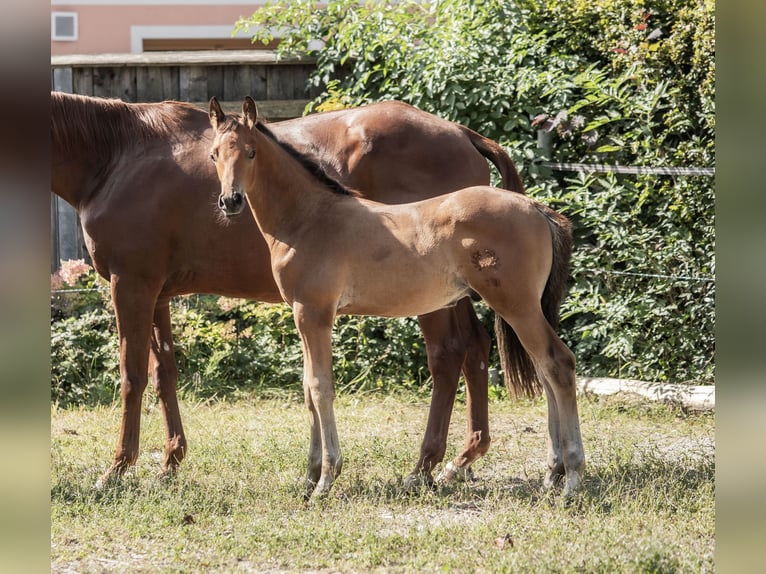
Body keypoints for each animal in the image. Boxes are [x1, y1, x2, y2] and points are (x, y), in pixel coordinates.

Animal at [49, 92, 528, 488]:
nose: (230, 201)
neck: (117, 156)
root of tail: (464, 134)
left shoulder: (131, 284)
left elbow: (131, 376)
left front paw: (117, 468)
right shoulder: (158, 293)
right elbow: (163, 373)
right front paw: (170, 462)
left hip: (432, 298)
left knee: (447, 355)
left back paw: (425, 465)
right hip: (454, 291)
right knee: (474, 347)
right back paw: (462, 459)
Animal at [207, 97, 584, 502]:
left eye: (250, 152)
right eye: (214, 154)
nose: (230, 201)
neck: (309, 218)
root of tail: (537, 208)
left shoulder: (314, 313)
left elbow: (321, 388)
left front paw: (326, 479)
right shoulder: (303, 315)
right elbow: (308, 390)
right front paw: (308, 477)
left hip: (516, 305)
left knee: (558, 364)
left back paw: (572, 477)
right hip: (522, 308)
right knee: (544, 369)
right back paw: (552, 472)